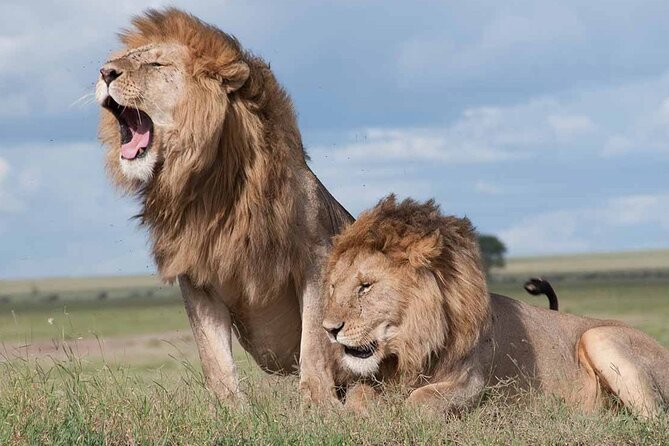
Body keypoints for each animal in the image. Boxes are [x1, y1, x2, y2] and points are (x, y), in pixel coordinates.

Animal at [96, 8, 353, 404]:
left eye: (156, 64)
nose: (105, 72)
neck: (209, 186)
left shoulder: (316, 257)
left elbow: (314, 341)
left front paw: (318, 404)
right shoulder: (196, 274)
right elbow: (213, 356)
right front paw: (230, 410)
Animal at [323, 195, 669, 418]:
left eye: (366, 287)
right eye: (334, 287)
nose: (329, 329)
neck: (411, 345)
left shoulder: (473, 382)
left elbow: (420, 399)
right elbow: (357, 396)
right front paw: (361, 414)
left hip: (598, 336)